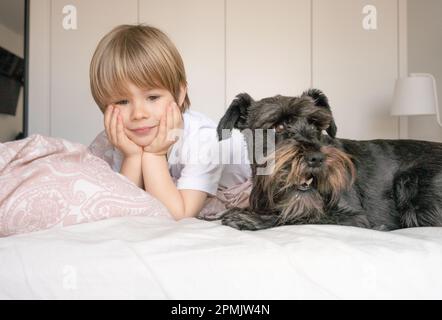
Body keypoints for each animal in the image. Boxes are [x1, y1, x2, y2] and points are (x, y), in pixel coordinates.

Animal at [216, 89, 442, 230]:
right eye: (278, 126)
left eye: (316, 126)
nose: (316, 158)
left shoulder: (354, 217)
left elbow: (303, 215)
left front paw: (250, 218)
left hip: (410, 181)